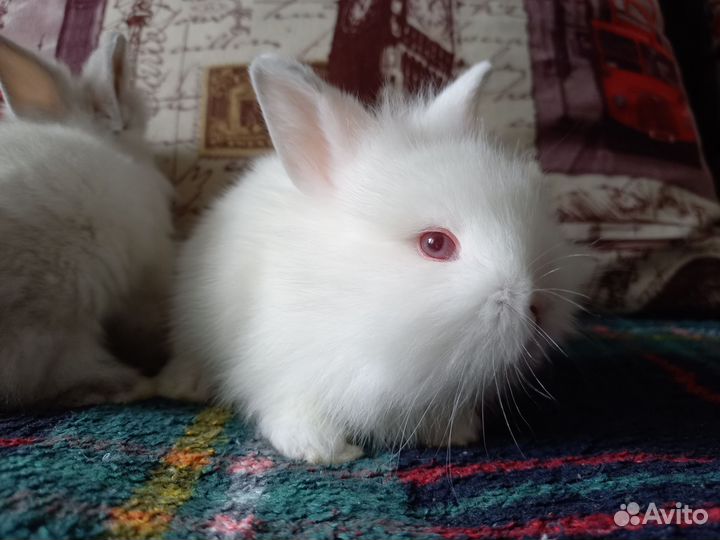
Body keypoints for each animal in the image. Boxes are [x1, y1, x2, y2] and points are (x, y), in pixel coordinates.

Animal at [164, 55, 590, 463]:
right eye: (435, 244)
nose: (539, 307)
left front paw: (456, 433)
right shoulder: (282, 372)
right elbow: (294, 415)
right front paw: (325, 452)